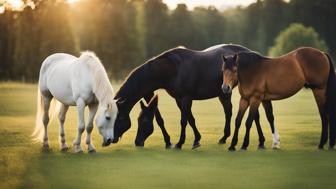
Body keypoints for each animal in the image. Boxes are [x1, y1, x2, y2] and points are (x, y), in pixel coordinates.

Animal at [113, 44, 278, 149]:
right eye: (138, 120)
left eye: (145, 121)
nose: (137, 142)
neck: (174, 69)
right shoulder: (180, 99)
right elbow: (190, 118)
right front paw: (196, 140)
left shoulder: (186, 98)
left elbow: (184, 120)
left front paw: (180, 143)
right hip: (225, 93)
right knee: (231, 112)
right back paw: (226, 138)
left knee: (251, 115)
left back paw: (259, 141)